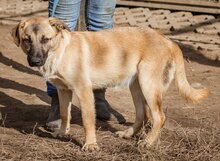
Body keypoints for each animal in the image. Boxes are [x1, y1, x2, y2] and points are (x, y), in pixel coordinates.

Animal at [12, 17, 208, 152]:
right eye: (27, 40)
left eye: (45, 39)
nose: (35, 61)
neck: (60, 51)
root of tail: (168, 40)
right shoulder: (63, 90)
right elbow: (64, 113)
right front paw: (62, 133)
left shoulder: (84, 91)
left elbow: (87, 120)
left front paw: (91, 144)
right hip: (136, 86)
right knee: (143, 115)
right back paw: (129, 134)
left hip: (148, 84)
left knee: (159, 117)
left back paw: (148, 142)